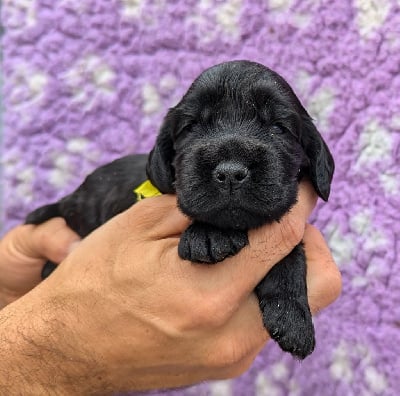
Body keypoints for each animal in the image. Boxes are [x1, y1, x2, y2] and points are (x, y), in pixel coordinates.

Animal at [26, 60, 336, 360]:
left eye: (279, 127)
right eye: (191, 127)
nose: (230, 172)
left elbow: (290, 253)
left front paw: (292, 317)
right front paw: (209, 235)